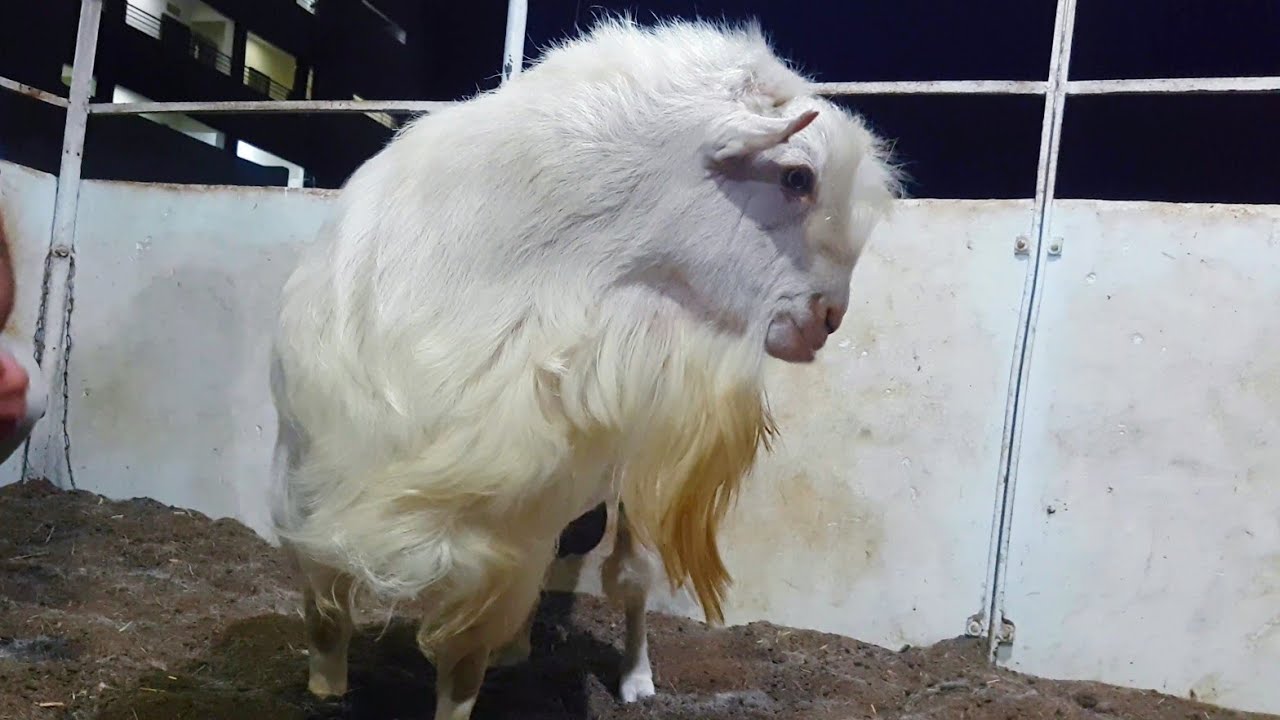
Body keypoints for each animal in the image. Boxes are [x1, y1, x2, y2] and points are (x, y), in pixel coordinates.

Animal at [269, 17, 899, 720]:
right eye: (797, 178)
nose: (828, 319)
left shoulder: (504, 534)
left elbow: (461, 668)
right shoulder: (313, 479)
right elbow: (324, 619)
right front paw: (323, 690)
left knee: (631, 580)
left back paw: (634, 677)